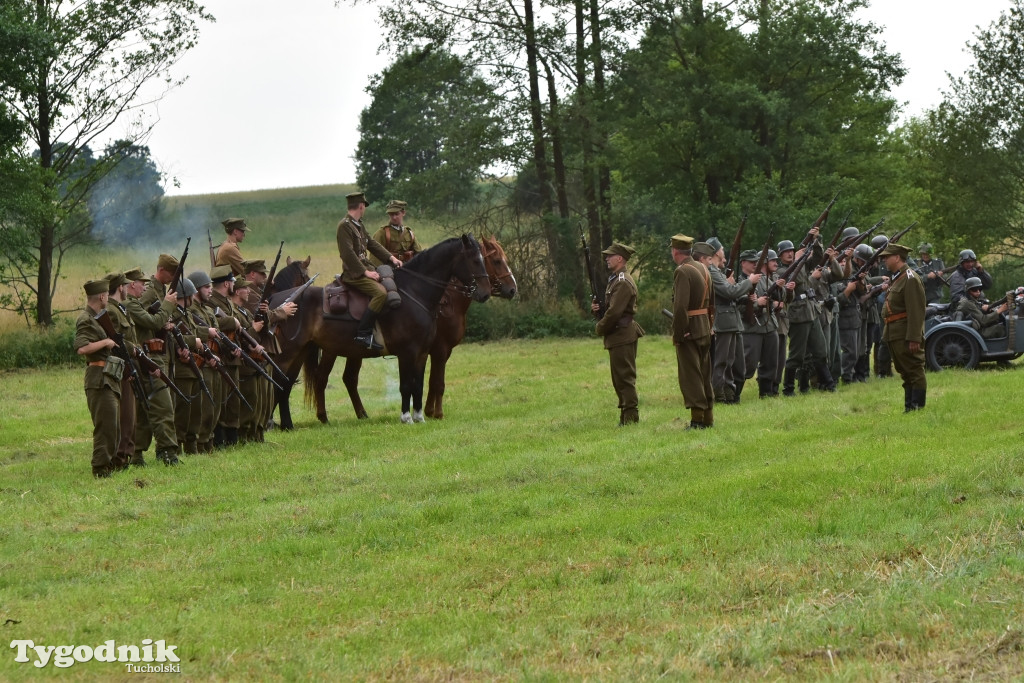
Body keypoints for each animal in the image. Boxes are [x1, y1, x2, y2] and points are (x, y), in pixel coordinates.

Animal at [266, 235, 485, 428]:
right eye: (475, 260)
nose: (484, 293)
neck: (414, 294)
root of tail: (275, 302)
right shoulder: (407, 353)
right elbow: (406, 385)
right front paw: (406, 418)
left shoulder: (422, 353)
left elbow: (419, 385)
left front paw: (419, 417)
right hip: (287, 355)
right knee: (276, 384)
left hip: (300, 352)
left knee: (285, 385)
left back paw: (288, 425)